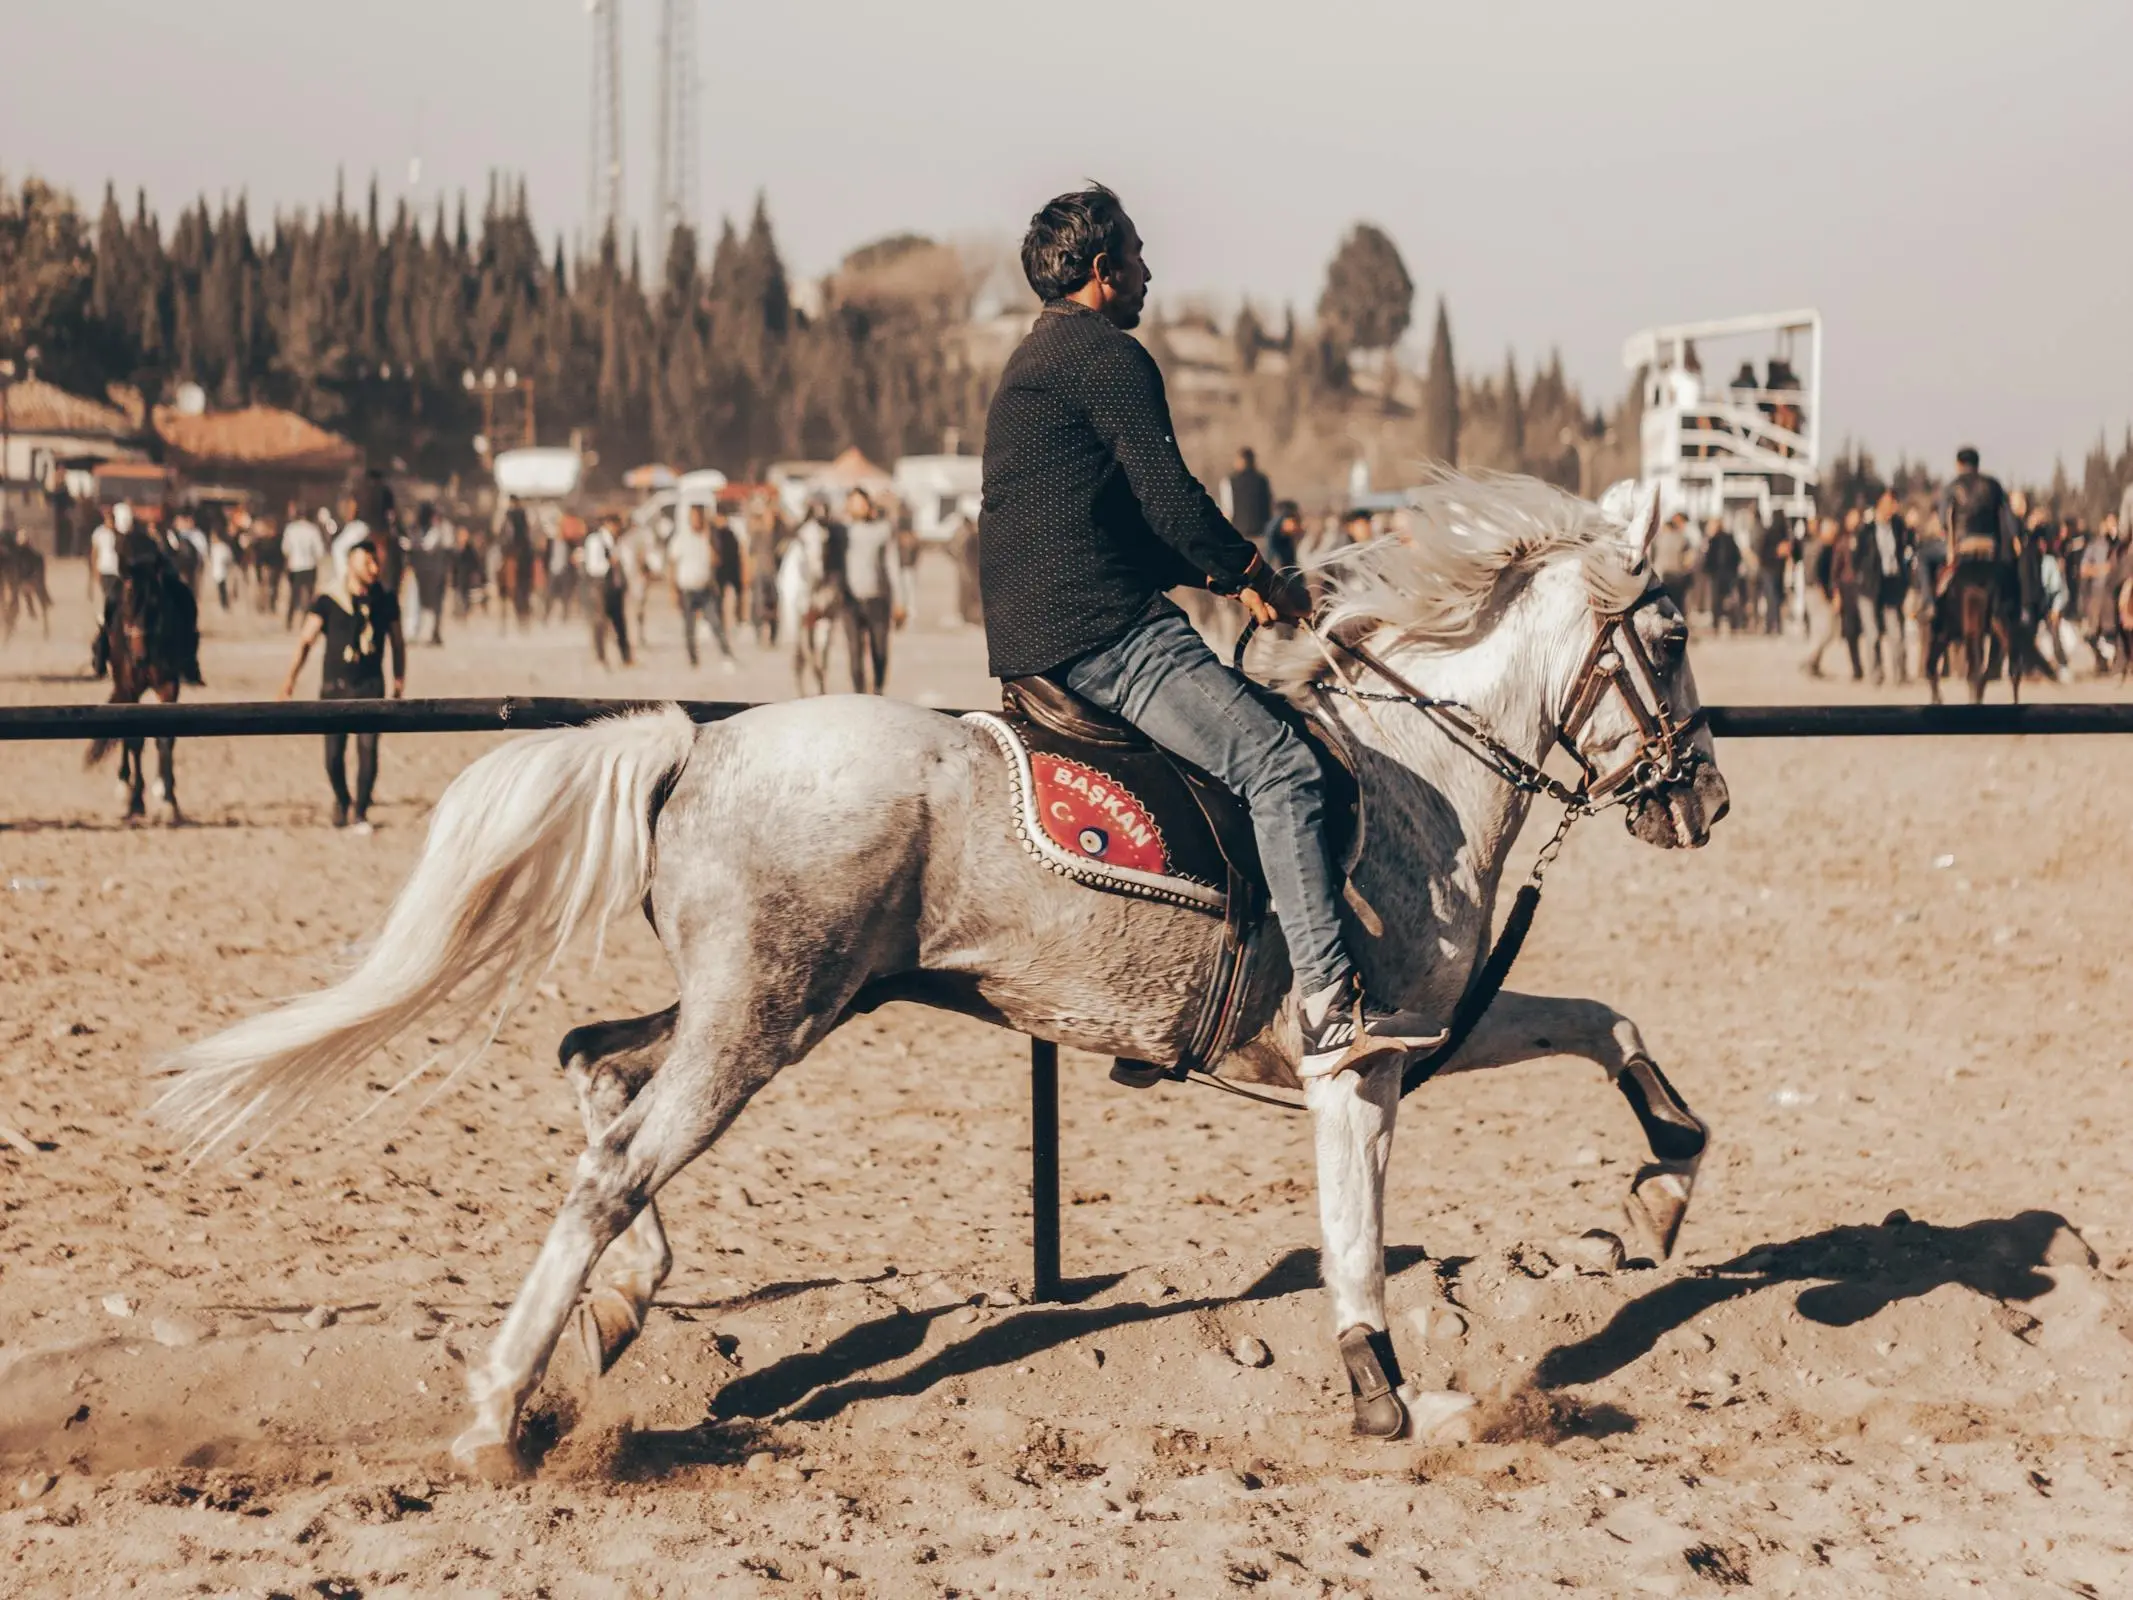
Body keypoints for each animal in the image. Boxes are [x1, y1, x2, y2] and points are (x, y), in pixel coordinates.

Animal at [86, 558, 193, 827]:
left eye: (155, 605)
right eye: (126, 604)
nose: (140, 657)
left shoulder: (169, 686)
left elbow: (165, 738)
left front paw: (168, 800)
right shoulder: (128, 686)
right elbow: (134, 739)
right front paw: (135, 801)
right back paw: (124, 785)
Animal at [157, 473, 1723, 1476]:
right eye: (1673, 633)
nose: (1702, 799)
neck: (1413, 776)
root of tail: (698, 743)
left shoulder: (1426, 1032)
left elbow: (1602, 1020)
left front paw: (1660, 1185)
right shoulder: (1360, 1061)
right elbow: (1353, 1235)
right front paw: (1390, 1403)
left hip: (755, 1005)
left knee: (595, 1072)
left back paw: (611, 1316)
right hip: (762, 1022)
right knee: (613, 1166)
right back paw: (493, 1414)